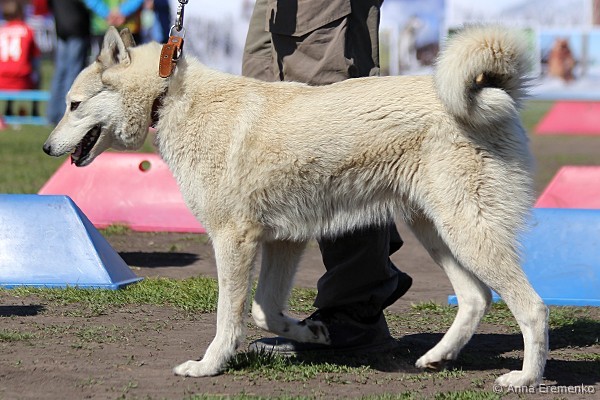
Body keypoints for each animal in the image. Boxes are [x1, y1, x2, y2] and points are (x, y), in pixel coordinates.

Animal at [43, 25, 549, 387]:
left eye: (74, 104)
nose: (47, 147)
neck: (168, 96)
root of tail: (498, 92)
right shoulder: (282, 241)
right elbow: (264, 309)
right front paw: (310, 334)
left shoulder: (233, 239)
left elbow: (228, 316)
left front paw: (210, 365)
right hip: (438, 231)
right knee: (476, 298)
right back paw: (437, 357)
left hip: (468, 232)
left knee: (533, 308)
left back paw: (524, 378)